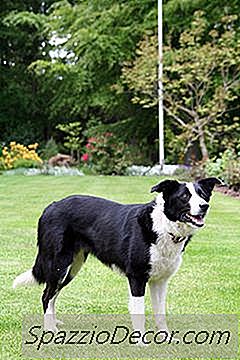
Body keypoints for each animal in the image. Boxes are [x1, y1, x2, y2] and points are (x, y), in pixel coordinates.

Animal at [12, 179, 219, 336]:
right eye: (185, 196)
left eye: (202, 195)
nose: (204, 206)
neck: (164, 226)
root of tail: (50, 206)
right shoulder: (136, 277)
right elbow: (139, 311)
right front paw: (141, 343)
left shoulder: (160, 281)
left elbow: (160, 313)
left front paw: (165, 338)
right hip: (59, 265)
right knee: (46, 295)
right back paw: (50, 330)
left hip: (71, 268)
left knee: (52, 295)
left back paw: (54, 323)